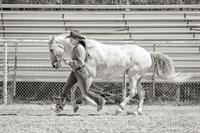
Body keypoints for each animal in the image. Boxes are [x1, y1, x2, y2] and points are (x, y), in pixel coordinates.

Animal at [48, 31, 189, 115]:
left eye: (51, 49)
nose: (54, 65)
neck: (85, 49)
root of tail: (148, 54)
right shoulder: (81, 77)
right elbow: (73, 89)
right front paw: (73, 107)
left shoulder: (88, 77)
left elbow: (84, 92)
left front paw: (97, 104)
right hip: (138, 78)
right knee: (142, 93)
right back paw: (137, 111)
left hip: (132, 76)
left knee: (133, 92)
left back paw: (119, 108)